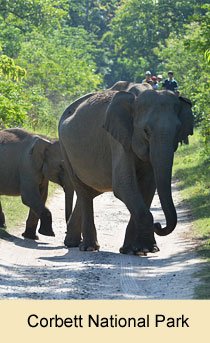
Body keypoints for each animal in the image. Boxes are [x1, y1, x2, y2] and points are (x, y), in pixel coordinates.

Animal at [58, 82, 193, 255]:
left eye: (178, 130)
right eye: (146, 131)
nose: (158, 225)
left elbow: (148, 187)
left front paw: (136, 249)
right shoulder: (118, 139)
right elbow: (124, 185)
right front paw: (146, 249)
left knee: (92, 191)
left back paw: (72, 243)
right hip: (64, 148)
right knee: (83, 191)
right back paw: (88, 247)